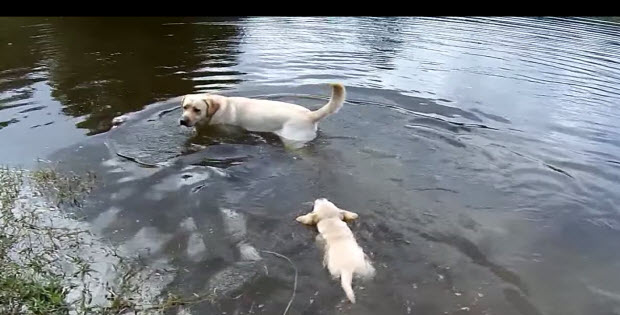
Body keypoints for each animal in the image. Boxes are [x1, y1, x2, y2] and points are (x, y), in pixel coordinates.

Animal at [179, 82, 346, 147]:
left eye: (197, 109)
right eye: (185, 107)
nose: (182, 120)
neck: (218, 108)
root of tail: (311, 115)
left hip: (292, 141)